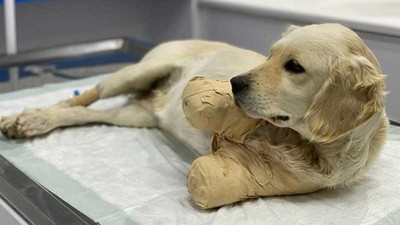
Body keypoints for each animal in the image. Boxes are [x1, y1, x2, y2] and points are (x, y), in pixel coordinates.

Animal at [0, 23, 388, 193]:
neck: (304, 144)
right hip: (133, 74)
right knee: (81, 98)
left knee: (84, 113)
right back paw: (28, 117)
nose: (233, 83)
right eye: (269, 55)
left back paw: (33, 121)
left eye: (294, 67)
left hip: (133, 115)